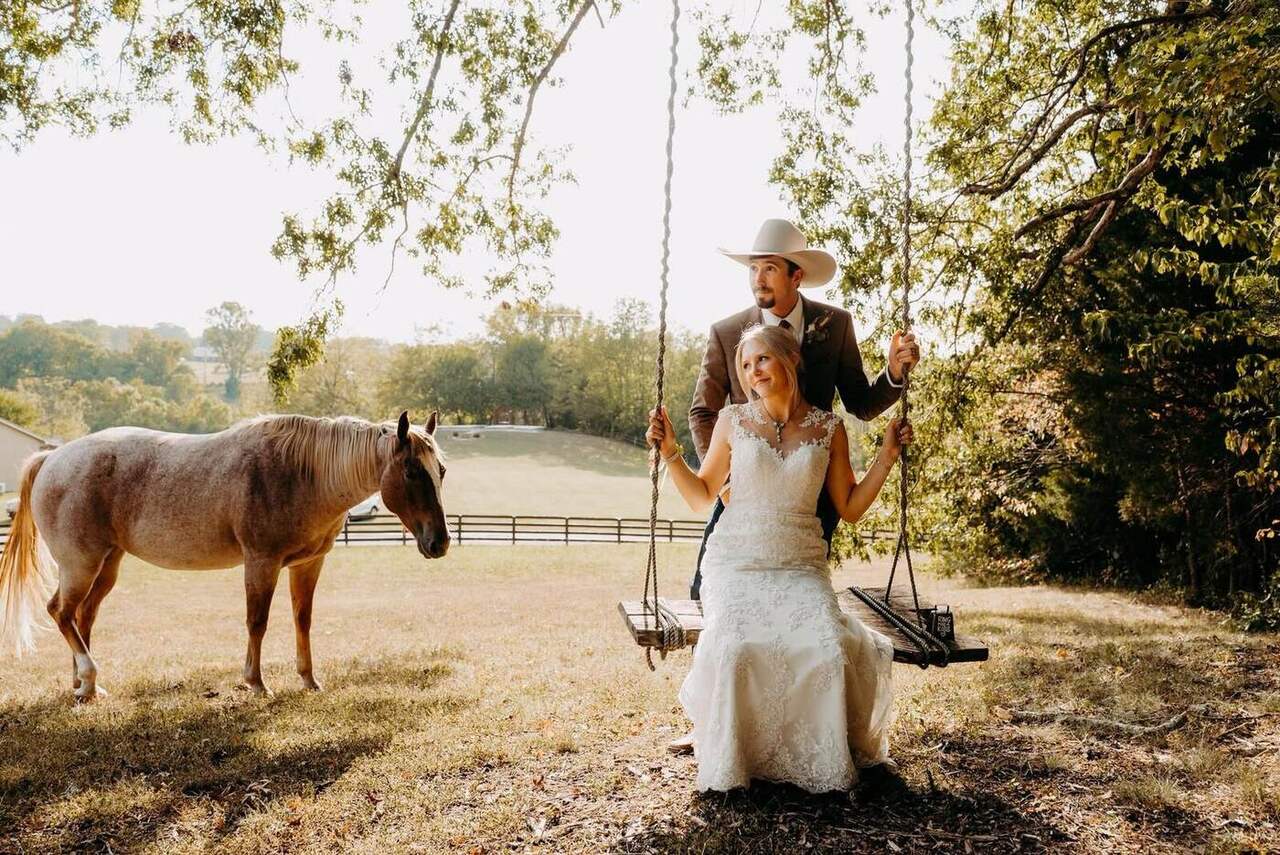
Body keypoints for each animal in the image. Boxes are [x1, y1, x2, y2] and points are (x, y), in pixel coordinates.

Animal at [0, 410, 448, 702]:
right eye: (412, 471)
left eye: (441, 470)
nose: (439, 542)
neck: (303, 474)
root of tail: (52, 458)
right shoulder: (261, 562)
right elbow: (257, 622)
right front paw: (256, 683)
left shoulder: (308, 564)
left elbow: (302, 619)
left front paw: (308, 680)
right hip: (81, 564)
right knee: (61, 612)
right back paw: (88, 677)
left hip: (106, 565)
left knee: (82, 616)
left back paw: (84, 686)